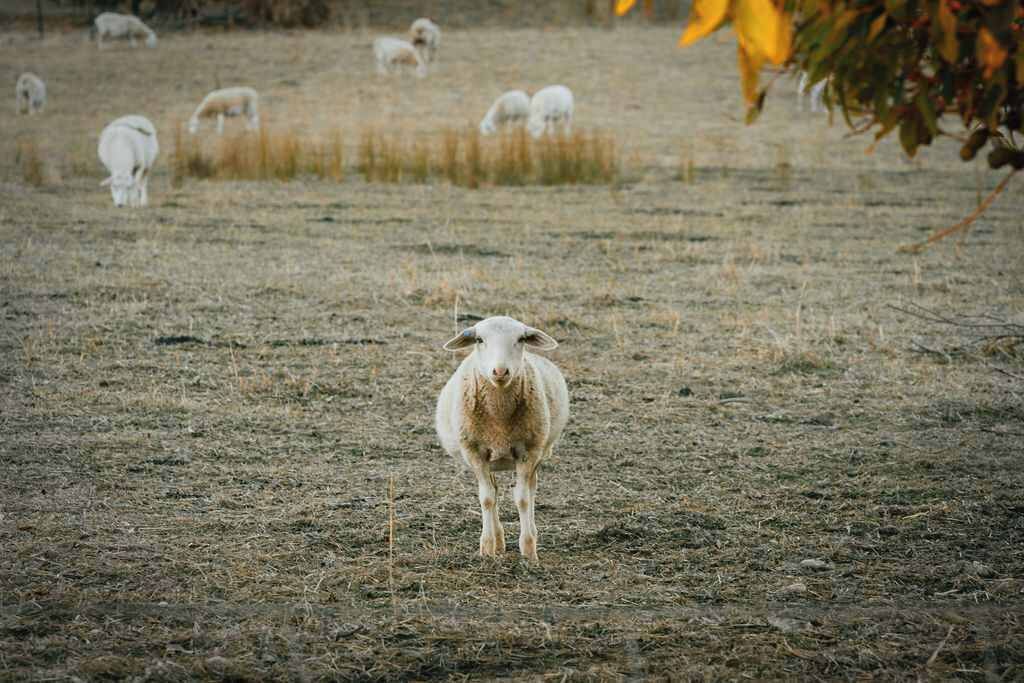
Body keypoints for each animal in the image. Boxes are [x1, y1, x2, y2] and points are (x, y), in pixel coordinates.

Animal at [435, 316, 570, 562]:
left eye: (521, 339)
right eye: (479, 339)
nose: (500, 371)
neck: (499, 416)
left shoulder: (528, 452)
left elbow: (523, 498)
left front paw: (528, 550)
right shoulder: (475, 453)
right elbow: (487, 499)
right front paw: (488, 548)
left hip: (539, 451)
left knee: (531, 489)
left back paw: (530, 533)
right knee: (494, 491)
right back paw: (498, 541)